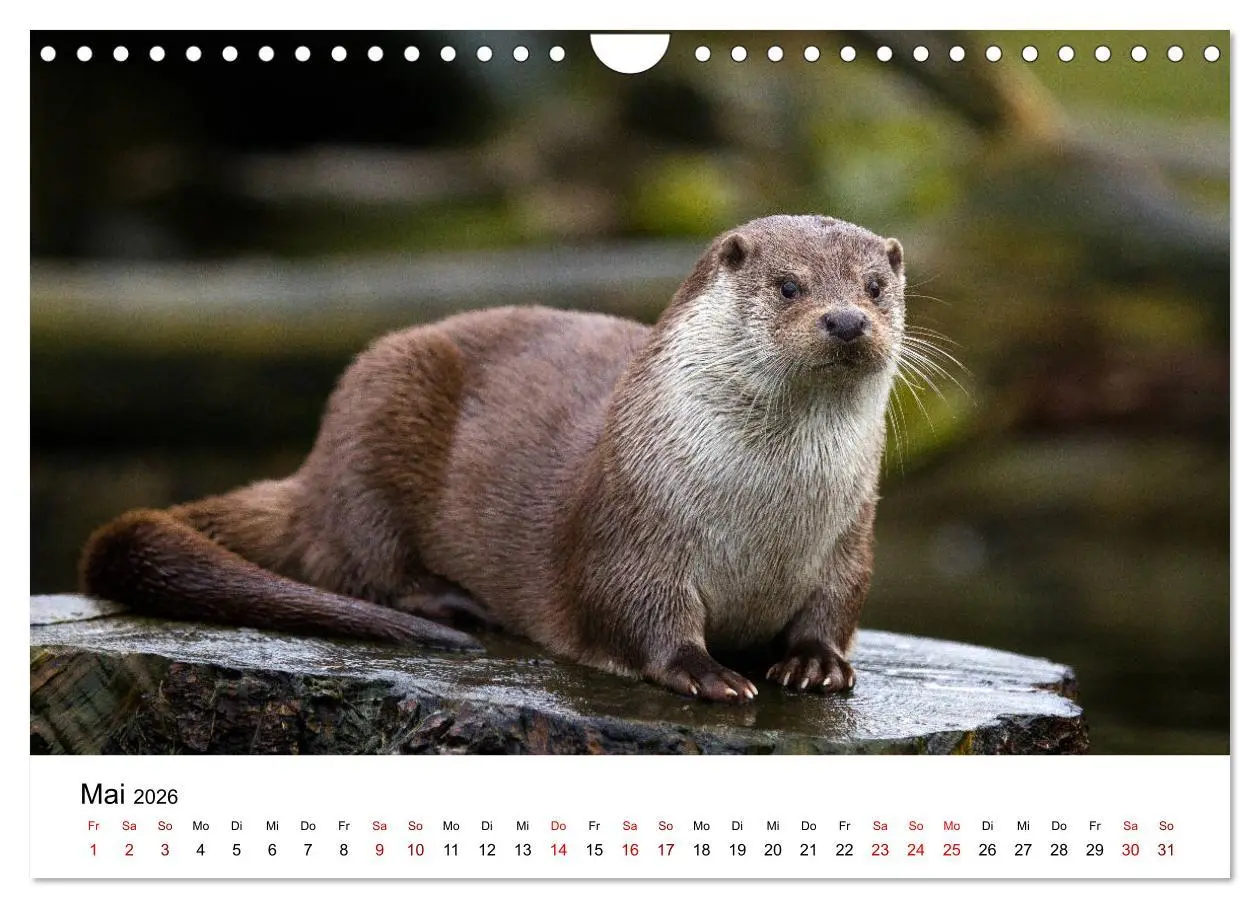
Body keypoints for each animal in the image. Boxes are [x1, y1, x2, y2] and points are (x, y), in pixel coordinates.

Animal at [80, 214, 906, 702]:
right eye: (789, 285)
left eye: (876, 286)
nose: (846, 320)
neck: (766, 518)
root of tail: (312, 473)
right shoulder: (630, 526)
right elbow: (634, 611)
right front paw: (707, 673)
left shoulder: (851, 538)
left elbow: (838, 605)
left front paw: (814, 664)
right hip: (378, 410)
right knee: (352, 561)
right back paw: (453, 604)